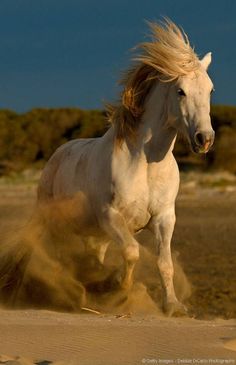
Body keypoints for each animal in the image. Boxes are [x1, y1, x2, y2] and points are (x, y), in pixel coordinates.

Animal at [37, 19, 214, 314]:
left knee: (92, 257)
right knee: (58, 255)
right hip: (58, 224)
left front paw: (173, 306)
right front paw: (118, 289)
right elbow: (131, 252)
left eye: (211, 89)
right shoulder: (111, 216)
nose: (205, 139)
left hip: (95, 235)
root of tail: (57, 155)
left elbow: (164, 263)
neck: (145, 164)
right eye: (180, 91)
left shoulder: (165, 218)